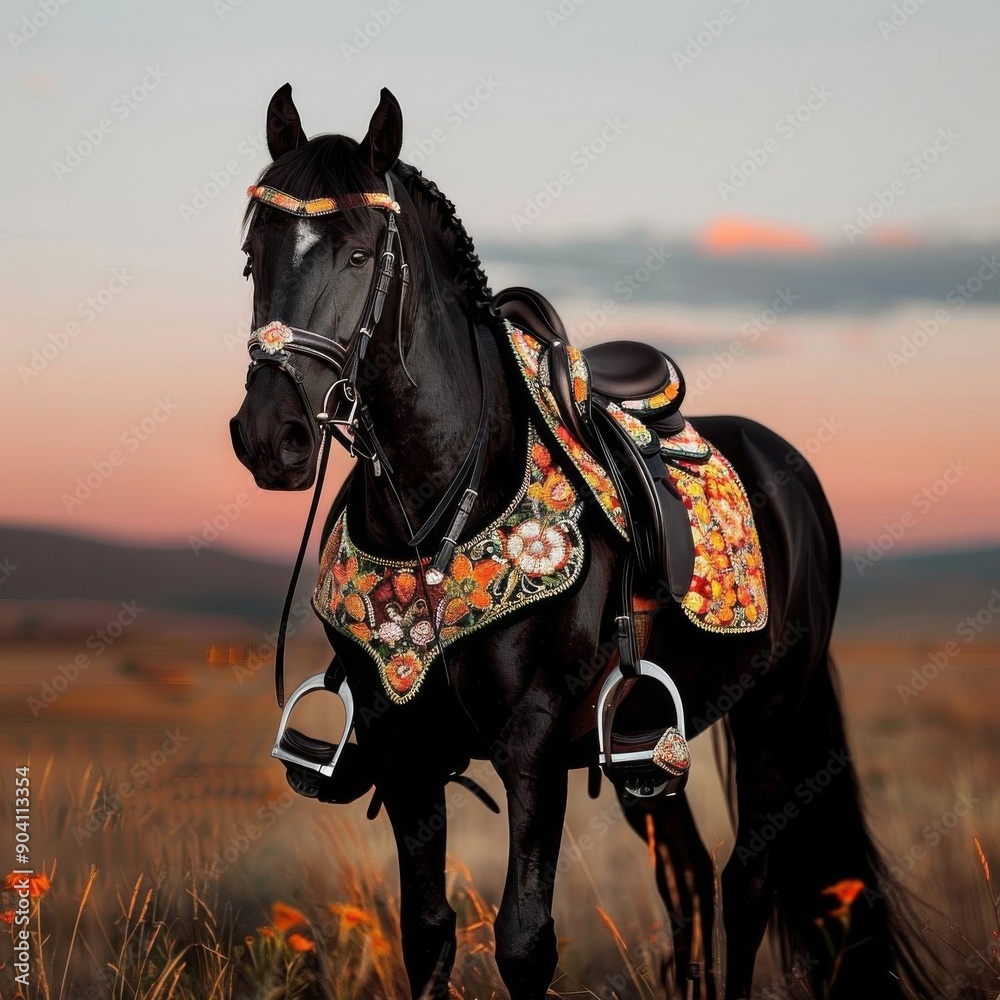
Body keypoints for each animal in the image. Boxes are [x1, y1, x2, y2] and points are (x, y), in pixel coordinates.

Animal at [229, 85, 936, 1000]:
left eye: (357, 255)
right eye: (254, 256)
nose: (268, 436)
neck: (438, 509)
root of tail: (791, 471)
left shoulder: (531, 746)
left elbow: (525, 941)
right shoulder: (404, 748)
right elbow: (427, 933)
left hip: (775, 712)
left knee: (747, 881)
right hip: (649, 745)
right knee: (688, 878)